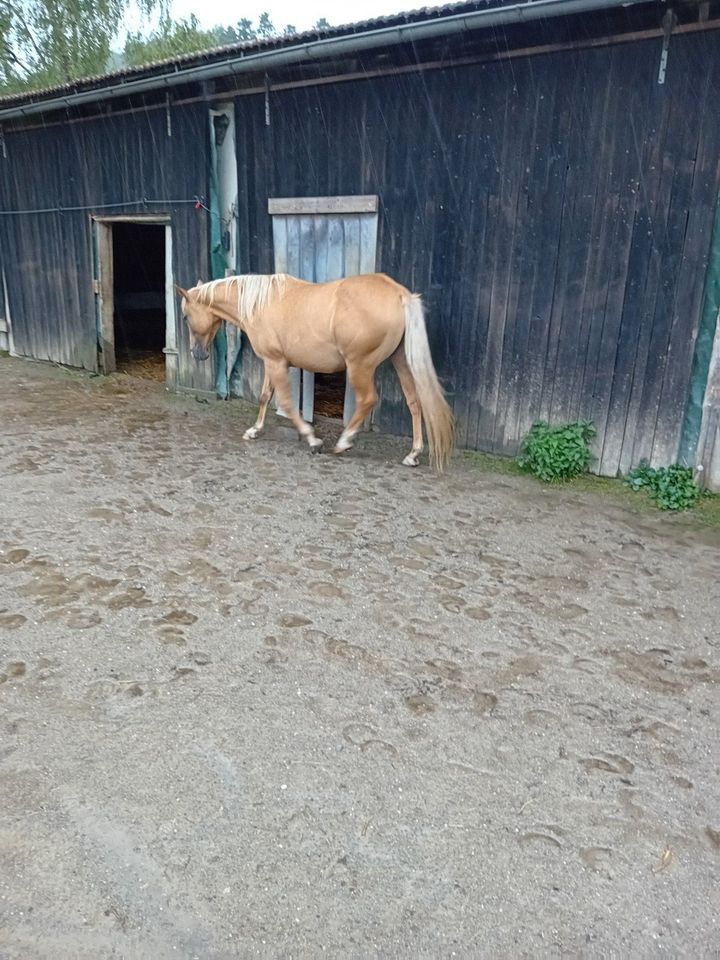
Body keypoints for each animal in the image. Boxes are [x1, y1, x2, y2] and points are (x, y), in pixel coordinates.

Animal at [177, 272, 452, 470]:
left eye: (185, 317)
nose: (197, 354)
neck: (261, 304)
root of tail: (399, 294)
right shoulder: (271, 362)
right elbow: (265, 396)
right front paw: (254, 430)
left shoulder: (276, 363)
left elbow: (287, 404)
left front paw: (312, 440)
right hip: (401, 361)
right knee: (415, 402)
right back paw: (413, 454)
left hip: (360, 366)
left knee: (368, 400)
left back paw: (343, 442)